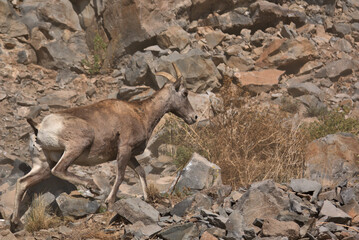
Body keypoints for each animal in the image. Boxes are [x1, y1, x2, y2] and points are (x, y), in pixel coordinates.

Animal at [9, 64, 198, 230]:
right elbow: (120, 176)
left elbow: (141, 172)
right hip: (75, 147)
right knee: (60, 170)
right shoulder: (124, 150)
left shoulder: (130, 155)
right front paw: (110, 202)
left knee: (23, 183)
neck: (141, 114)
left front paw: (146, 198)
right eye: (185, 93)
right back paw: (92, 187)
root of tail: (39, 127)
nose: (194, 117)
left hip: (43, 165)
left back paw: (16, 222)